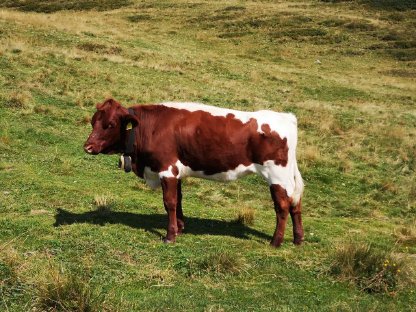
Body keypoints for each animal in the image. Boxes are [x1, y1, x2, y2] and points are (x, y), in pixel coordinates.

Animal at [83, 98, 306, 247]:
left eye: (110, 124)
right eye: (93, 121)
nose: (88, 147)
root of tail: (285, 117)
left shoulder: (166, 169)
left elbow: (170, 203)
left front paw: (170, 236)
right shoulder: (177, 172)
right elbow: (179, 200)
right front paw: (180, 229)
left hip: (277, 175)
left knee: (282, 206)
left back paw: (276, 241)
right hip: (288, 176)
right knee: (296, 203)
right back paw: (298, 239)